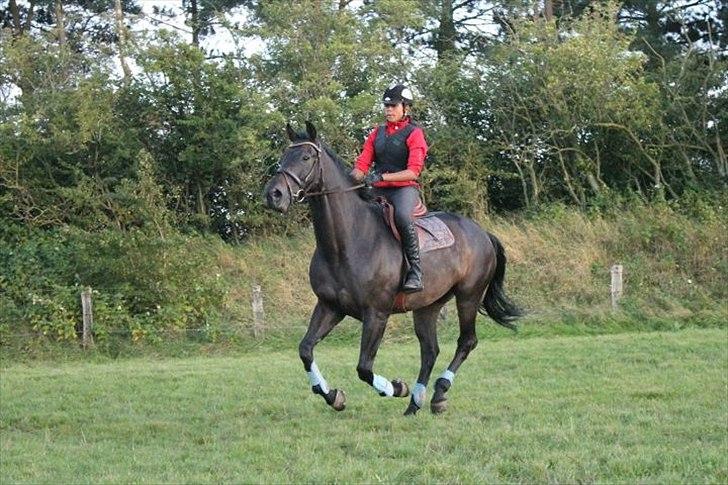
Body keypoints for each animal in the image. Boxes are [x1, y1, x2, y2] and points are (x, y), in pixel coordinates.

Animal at [264, 120, 520, 412]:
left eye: (306, 157)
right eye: (284, 156)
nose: (273, 194)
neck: (346, 243)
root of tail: (482, 233)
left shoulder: (376, 313)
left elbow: (364, 367)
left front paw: (396, 388)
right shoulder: (330, 307)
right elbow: (305, 350)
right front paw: (333, 396)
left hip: (468, 296)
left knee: (466, 341)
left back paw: (438, 394)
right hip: (428, 306)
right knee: (430, 350)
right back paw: (416, 403)